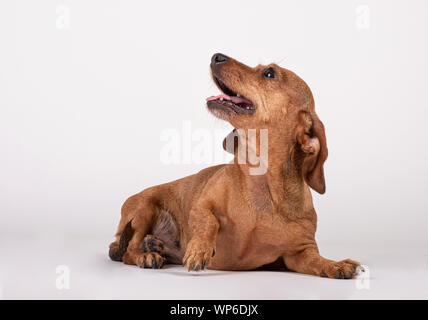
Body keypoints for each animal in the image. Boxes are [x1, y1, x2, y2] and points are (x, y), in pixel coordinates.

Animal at [109, 52, 362, 278]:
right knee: (127, 250)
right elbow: (208, 221)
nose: (216, 56)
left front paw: (335, 265)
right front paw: (199, 249)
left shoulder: (299, 252)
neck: (261, 183)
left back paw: (153, 244)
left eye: (269, 73)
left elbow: (316, 260)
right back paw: (147, 253)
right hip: (144, 207)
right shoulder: (201, 205)